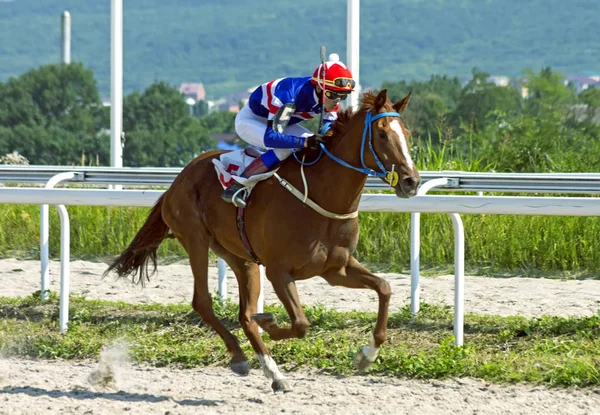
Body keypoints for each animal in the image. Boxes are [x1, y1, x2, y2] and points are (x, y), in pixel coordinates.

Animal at [104, 89, 422, 392]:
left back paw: (273, 374)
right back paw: (241, 357)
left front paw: (366, 355)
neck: (322, 196)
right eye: (381, 134)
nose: (411, 181)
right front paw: (269, 322)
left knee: (244, 315)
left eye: (406, 134)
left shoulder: (335, 269)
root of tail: (178, 180)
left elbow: (384, 288)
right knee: (203, 302)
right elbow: (300, 324)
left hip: (241, 257)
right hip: (195, 239)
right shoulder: (279, 272)